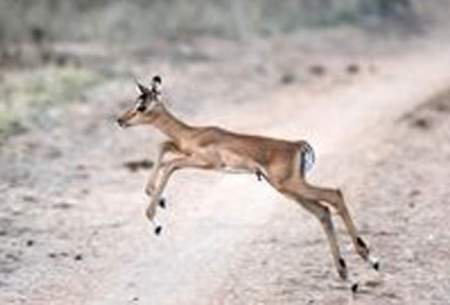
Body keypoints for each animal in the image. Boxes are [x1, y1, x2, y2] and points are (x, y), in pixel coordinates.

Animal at [117, 75, 380, 280]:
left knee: (334, 194)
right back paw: (348, 271)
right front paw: (157, 198)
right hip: (289, 190)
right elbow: (163, 147)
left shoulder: (205, 163)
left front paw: (155, 219)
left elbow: (170, 164)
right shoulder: (185, 152)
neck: (193, 134)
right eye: (135, 102)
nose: (120, 120)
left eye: (141, 106)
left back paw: (369, 258)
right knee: (323, 211)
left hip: (290, 185)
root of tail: (299, 145)